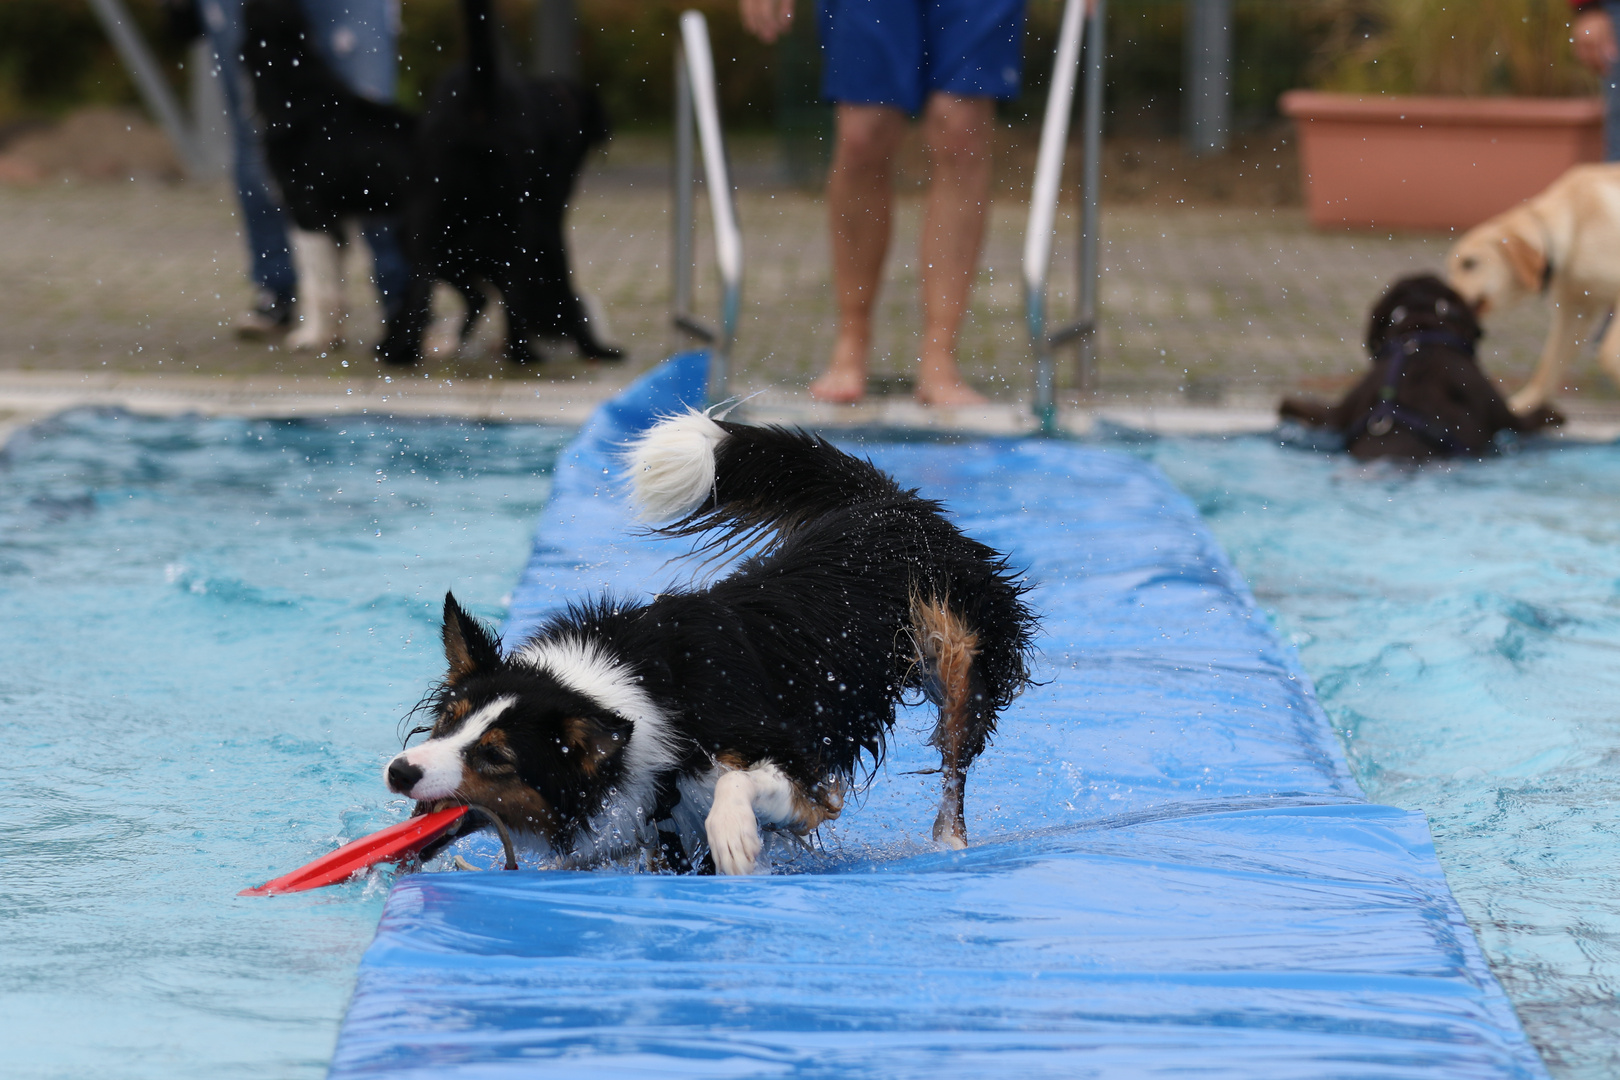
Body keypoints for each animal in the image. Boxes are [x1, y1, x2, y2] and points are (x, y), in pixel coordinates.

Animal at [243, 0, 417, 351]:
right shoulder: (338, 221)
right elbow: (334, 285)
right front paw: (331, 337)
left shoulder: (308, 213)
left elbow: (316, 283)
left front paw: (310, 337)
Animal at [379, 0, 618, 365]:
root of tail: (481, 92)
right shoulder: (549, 223)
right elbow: (562, 285)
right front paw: (592, 347)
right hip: (515, 226)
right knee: (508, 290)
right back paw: (523, 352)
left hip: (425, 226)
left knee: (426, 283)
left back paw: (401, 351)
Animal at [385, 411, 1030, 867]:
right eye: (448, 722)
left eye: (495, 756)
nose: (399, 771)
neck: (633, 694)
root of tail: (881, 501)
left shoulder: (802, 773)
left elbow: (742, 785)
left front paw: (736, 837)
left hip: (957, 650)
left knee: (955, 762)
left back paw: (949, 845)